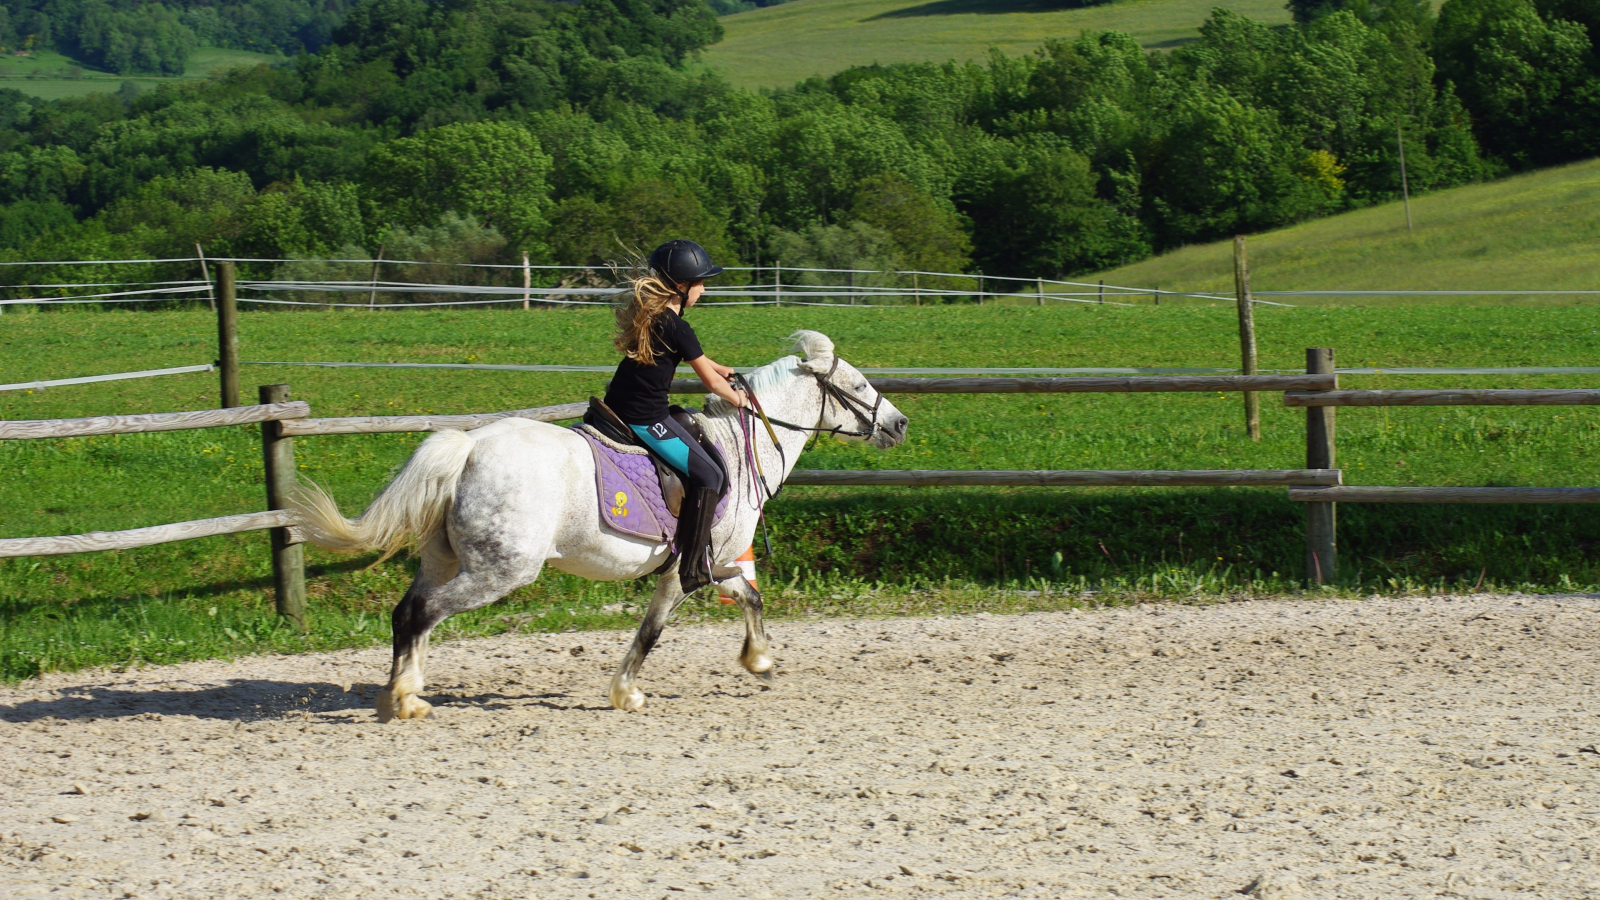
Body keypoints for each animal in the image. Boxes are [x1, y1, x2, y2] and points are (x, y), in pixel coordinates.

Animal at [292, 328, 908, 714]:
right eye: (857, 386)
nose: (899, 424)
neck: (738, 446)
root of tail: (467, 448)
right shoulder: (690, 569)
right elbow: (654, 631)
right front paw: (628, 692)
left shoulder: (713, 566)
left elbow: (747, 599)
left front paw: (757, 660)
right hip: (500, 571)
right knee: (423, 613)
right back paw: (404, 700)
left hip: (443, 559)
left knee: (408, 613)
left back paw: (404, 691)